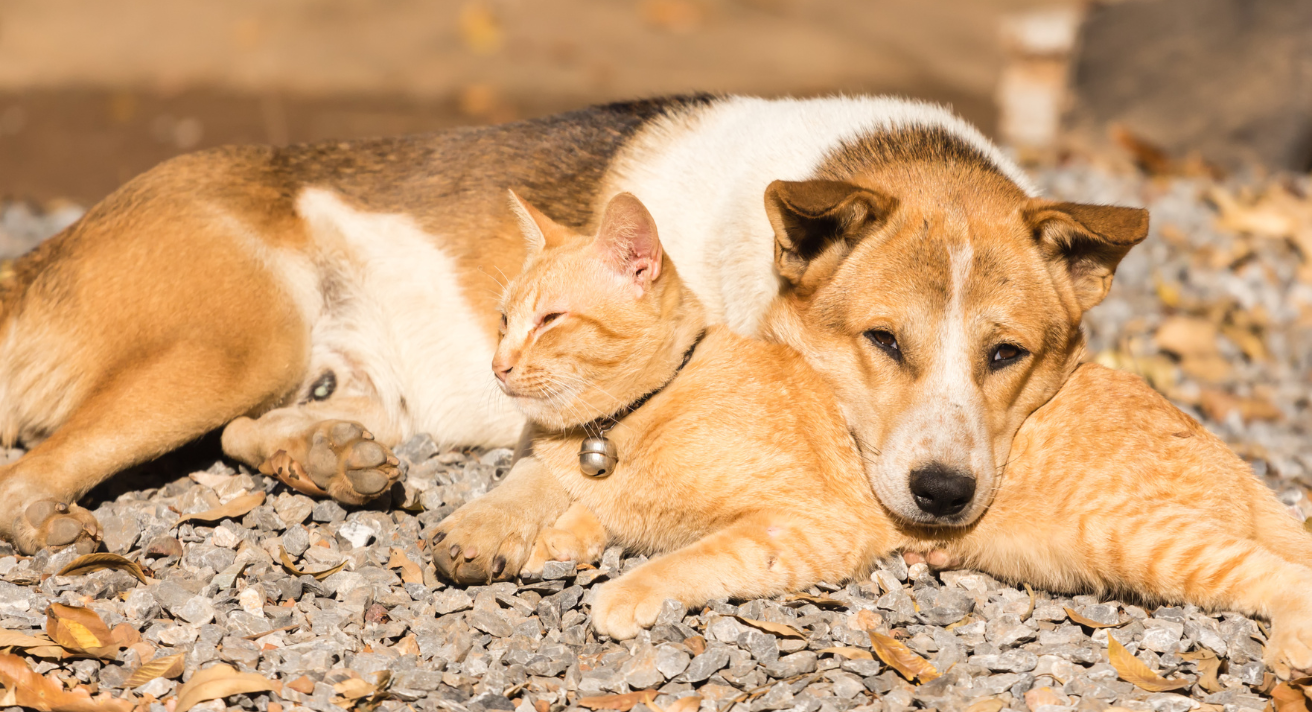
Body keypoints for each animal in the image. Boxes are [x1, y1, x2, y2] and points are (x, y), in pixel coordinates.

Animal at [0, 94, 1138, 553]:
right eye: (883, 342)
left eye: (1006, 355)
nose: (944, 495)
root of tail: (43, 252)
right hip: (239, 338)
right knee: (30, 472)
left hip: (325, 376)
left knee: (258, 428)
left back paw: (327, 459)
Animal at [435, 191, 1312, 681]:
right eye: (505, 316)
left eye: (551, 320)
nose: (496, 362)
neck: (625, 422)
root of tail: (1232, 454)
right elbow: (590, 515)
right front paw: (560, 538)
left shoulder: (806, 524)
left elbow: (691, 555)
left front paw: (622, 589)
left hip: (1142, 537)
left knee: (1282, 573)